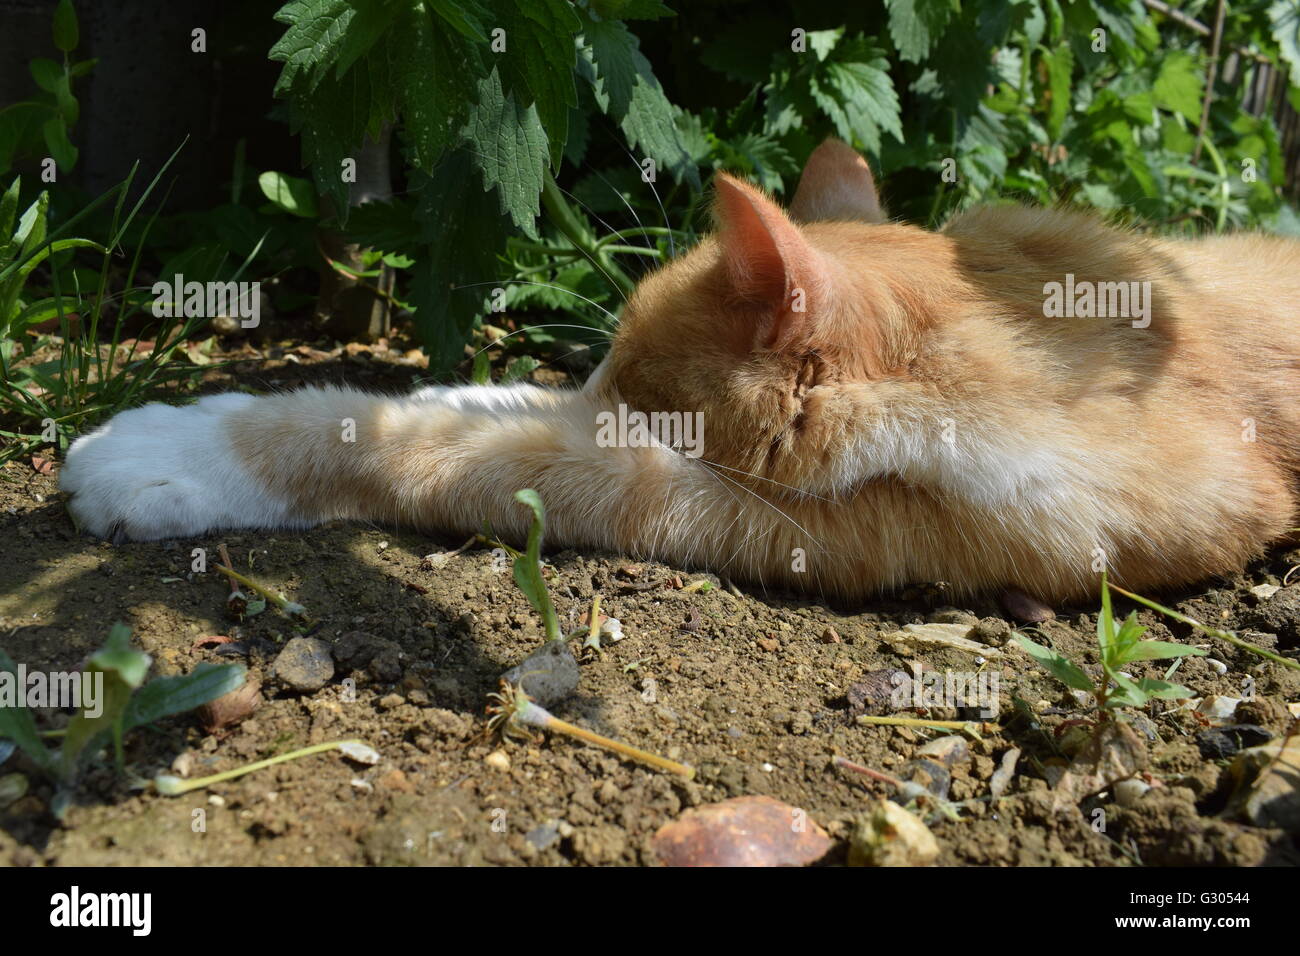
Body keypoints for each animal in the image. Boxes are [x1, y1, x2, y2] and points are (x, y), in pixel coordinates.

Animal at [58, 138, 1300, 600]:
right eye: (604, 367)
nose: (595, 390)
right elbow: (476, 404)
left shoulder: (858, 521)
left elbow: (494, 452)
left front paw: (175, 451)